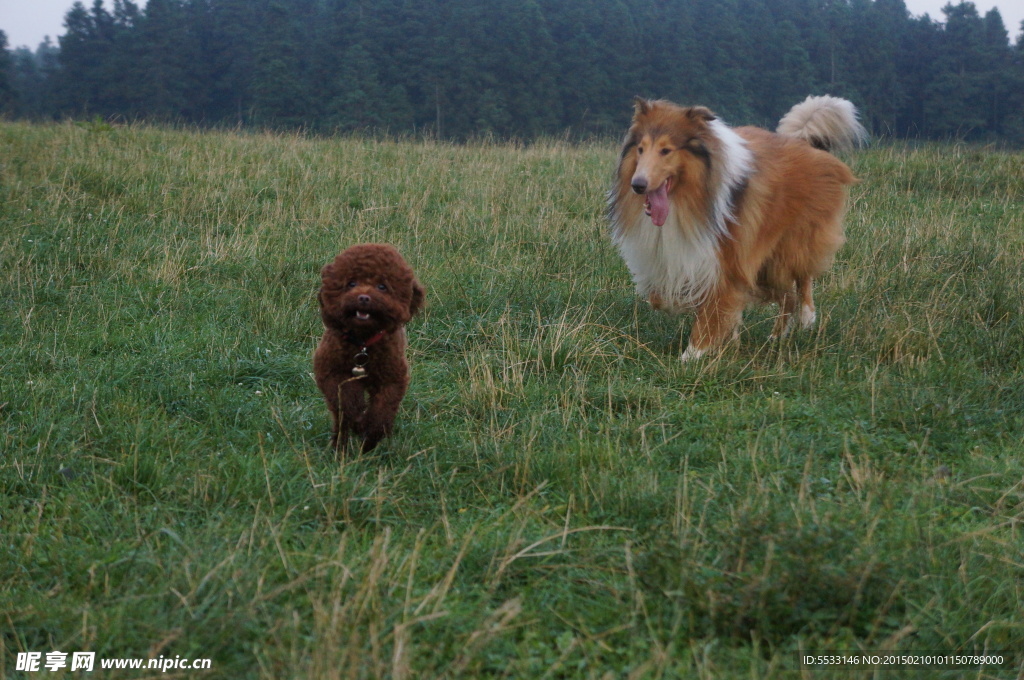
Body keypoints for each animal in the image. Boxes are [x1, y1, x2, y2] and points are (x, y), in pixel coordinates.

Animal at [606, 95, 864, 364]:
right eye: (640, 149)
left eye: (666, 150)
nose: (638, 185)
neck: (686, 200)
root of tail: (806, 144)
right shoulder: (677, 257)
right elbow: (663, 297)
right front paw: (726, 335)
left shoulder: (726, 261)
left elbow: (711, 313)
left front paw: (692, 355)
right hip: (765, 264)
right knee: (787, 296)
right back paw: (776, 336)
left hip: (792, 244)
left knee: (802, 279)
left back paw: (807, 317)